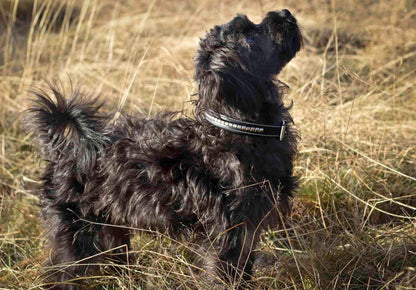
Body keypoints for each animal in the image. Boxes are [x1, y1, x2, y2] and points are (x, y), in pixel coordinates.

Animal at [26, 9, 302, 288]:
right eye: (250, 36)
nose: (285, 12)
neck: (236, 127)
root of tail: (65, 152)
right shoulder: (226, 237)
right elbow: (224, 278)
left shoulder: (246, 232)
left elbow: (245, 272)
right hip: (76, 237)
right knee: (61, 273)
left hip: (111, 229)